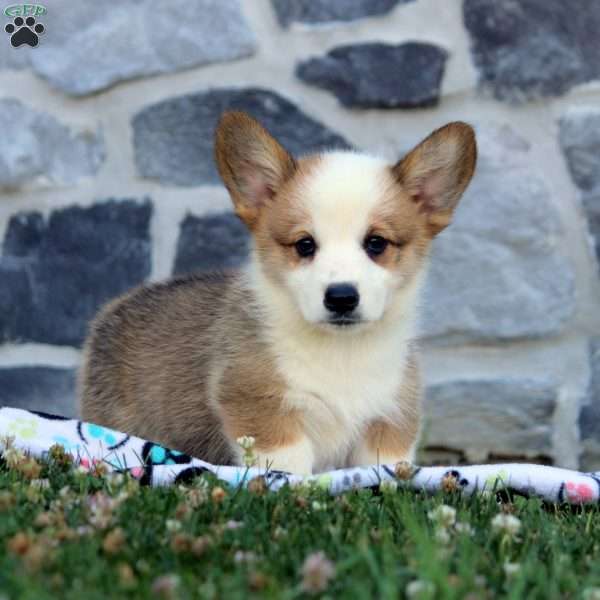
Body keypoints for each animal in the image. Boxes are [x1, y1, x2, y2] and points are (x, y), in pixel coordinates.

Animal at [78, 111, 474, 474]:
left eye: (376, 243)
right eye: (304, 245)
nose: (341, 297)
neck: (341, 353)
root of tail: (117, 306)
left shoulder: (387, 422)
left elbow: (386, 468)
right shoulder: (263, 409)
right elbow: (289, 468)